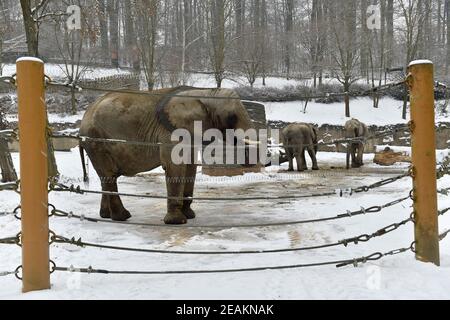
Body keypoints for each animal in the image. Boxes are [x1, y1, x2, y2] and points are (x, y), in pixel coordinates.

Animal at [79, 86, 255, 224]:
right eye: (232, 117)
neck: (204, 93)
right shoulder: (171, 132)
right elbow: (174, 166)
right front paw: (177, 222)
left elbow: (190, 166)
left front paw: (189, 216)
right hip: (96, 141)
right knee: (109, 175)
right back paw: (123, 217)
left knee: (107, 177)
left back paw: (106, 215)